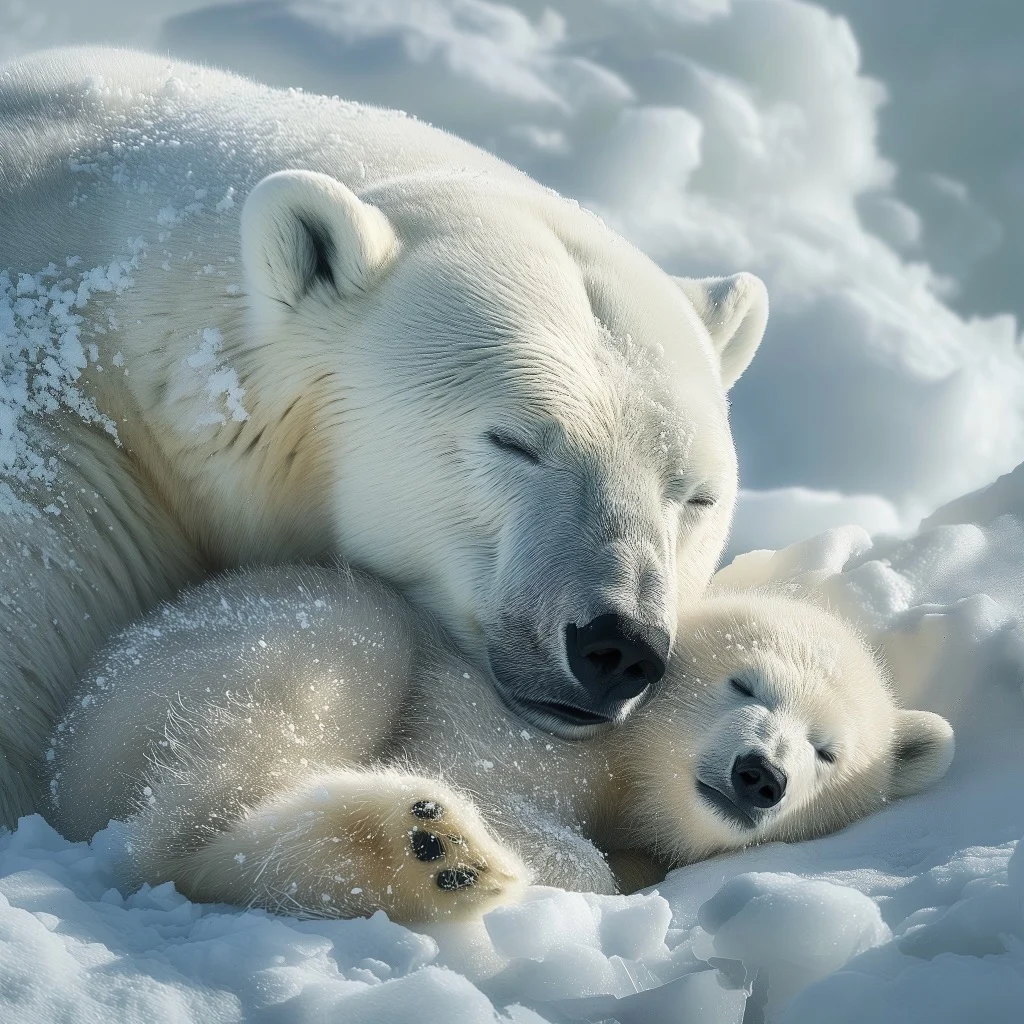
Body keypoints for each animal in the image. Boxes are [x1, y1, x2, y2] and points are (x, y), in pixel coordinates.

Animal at [48, 565, 954, 923]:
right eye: (747, 684)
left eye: (828, 752)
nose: (761, 773)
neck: (622, 755)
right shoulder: (494, 725)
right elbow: (488, 782)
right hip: (207, 671)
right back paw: (418, 846)